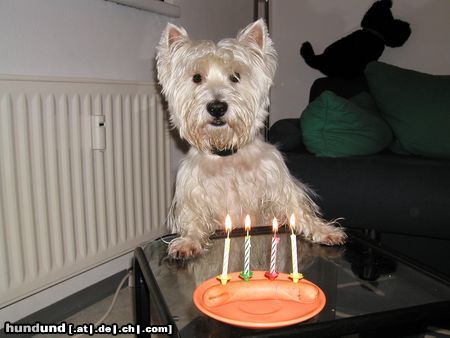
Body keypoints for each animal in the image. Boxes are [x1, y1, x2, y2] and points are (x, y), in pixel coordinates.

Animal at [155, 19, 344, 258]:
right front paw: (187, 241)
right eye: (196, 77)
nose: (217, 107)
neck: (226, 153)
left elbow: (297, 207)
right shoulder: (193, 192)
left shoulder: (278, 184)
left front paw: (324, 230)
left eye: (235, 77)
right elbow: (193, 220)